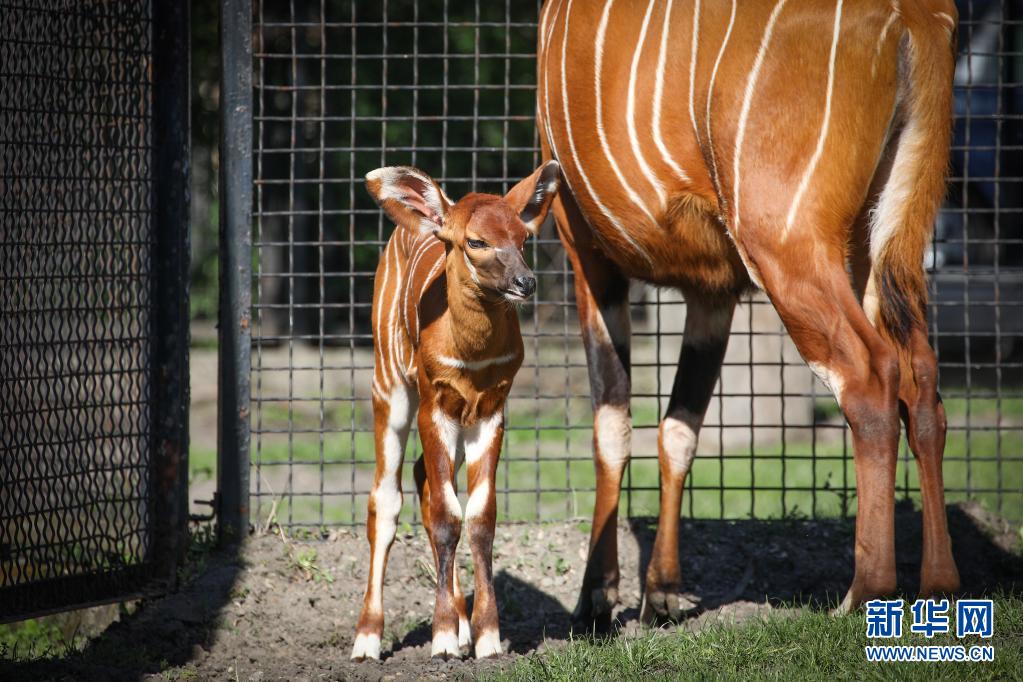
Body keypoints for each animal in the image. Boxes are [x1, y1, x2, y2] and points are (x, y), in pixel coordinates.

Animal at [350, 162, 561, 660]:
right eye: (477, 241)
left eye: (523, 237)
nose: (526, 282)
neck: (470, 352)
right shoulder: (435, 405)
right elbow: (448, 516)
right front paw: (443, 638)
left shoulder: (490, 411)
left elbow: (480, 517)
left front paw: (485, 637)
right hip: (390, 387)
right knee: (386, 498)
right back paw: (367, 639)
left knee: (425, 482)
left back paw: (463, 627)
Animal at [536, 0, 960, 625]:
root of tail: (916, 15)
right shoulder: (714, 290)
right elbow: (679, 430)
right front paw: (662, 591)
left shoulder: (584, 248)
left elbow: (612, 425)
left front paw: (597, 598)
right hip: (881, 244)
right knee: (921, 376)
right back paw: (941, 587)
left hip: (785, 242)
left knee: (869, 376)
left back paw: (863, 594)